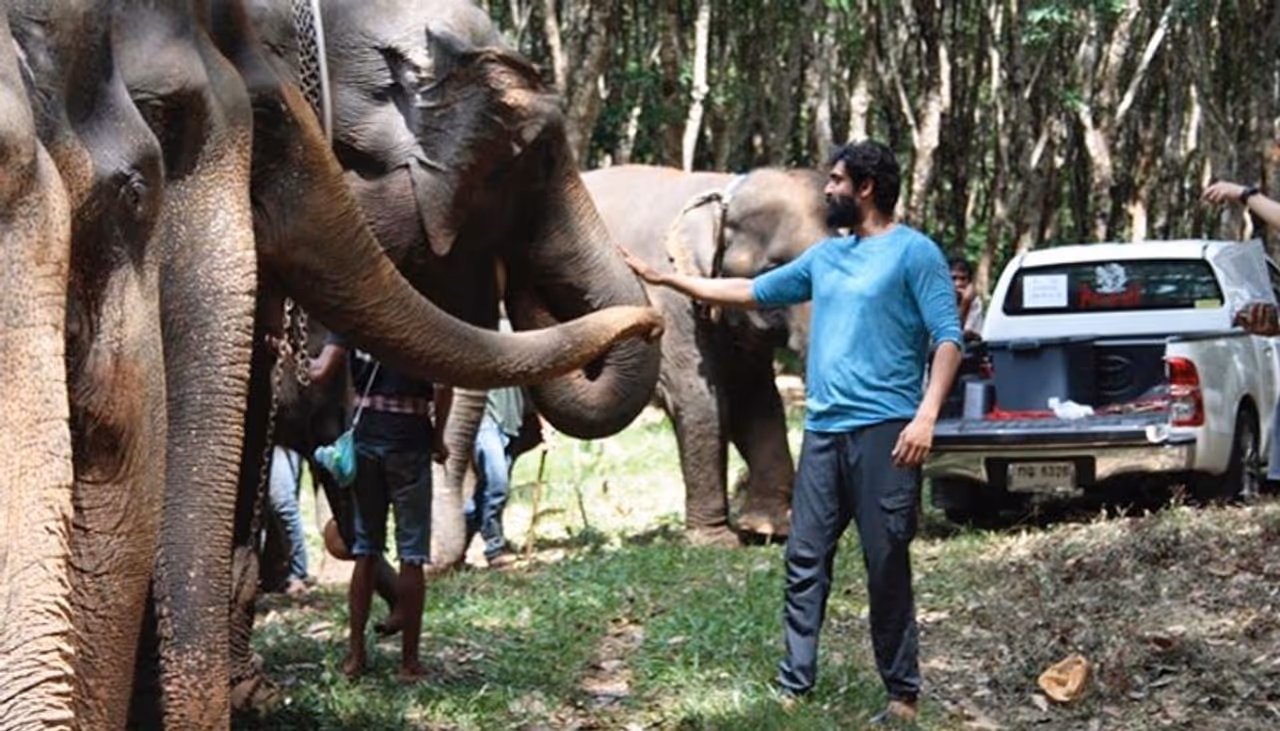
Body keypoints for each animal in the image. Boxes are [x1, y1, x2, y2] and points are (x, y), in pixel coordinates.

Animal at [583, 165, 830, 544]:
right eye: (774, 268)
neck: (720, 190)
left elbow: (756, 400)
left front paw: (766, 530)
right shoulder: (666, 304)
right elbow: (700, 399)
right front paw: (718, 541)